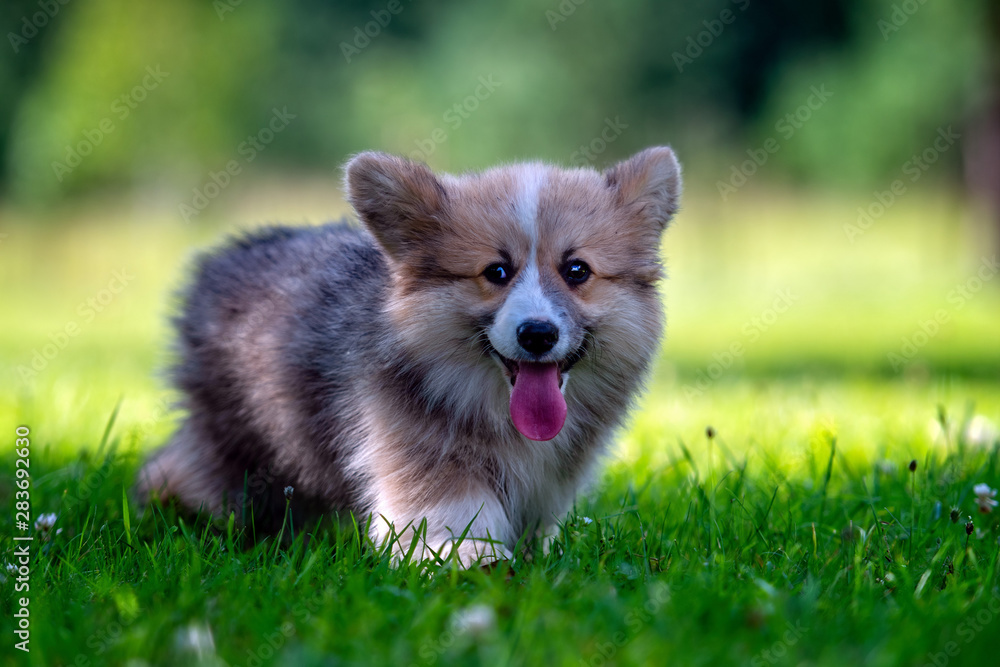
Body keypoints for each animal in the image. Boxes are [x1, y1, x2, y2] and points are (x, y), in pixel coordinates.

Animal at [139, 146, 680, 564]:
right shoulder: (423, 454)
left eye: (576, 270)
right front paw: (471, 559)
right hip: (236, 443)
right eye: (496, 272)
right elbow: (451, 517)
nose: (537, 334)